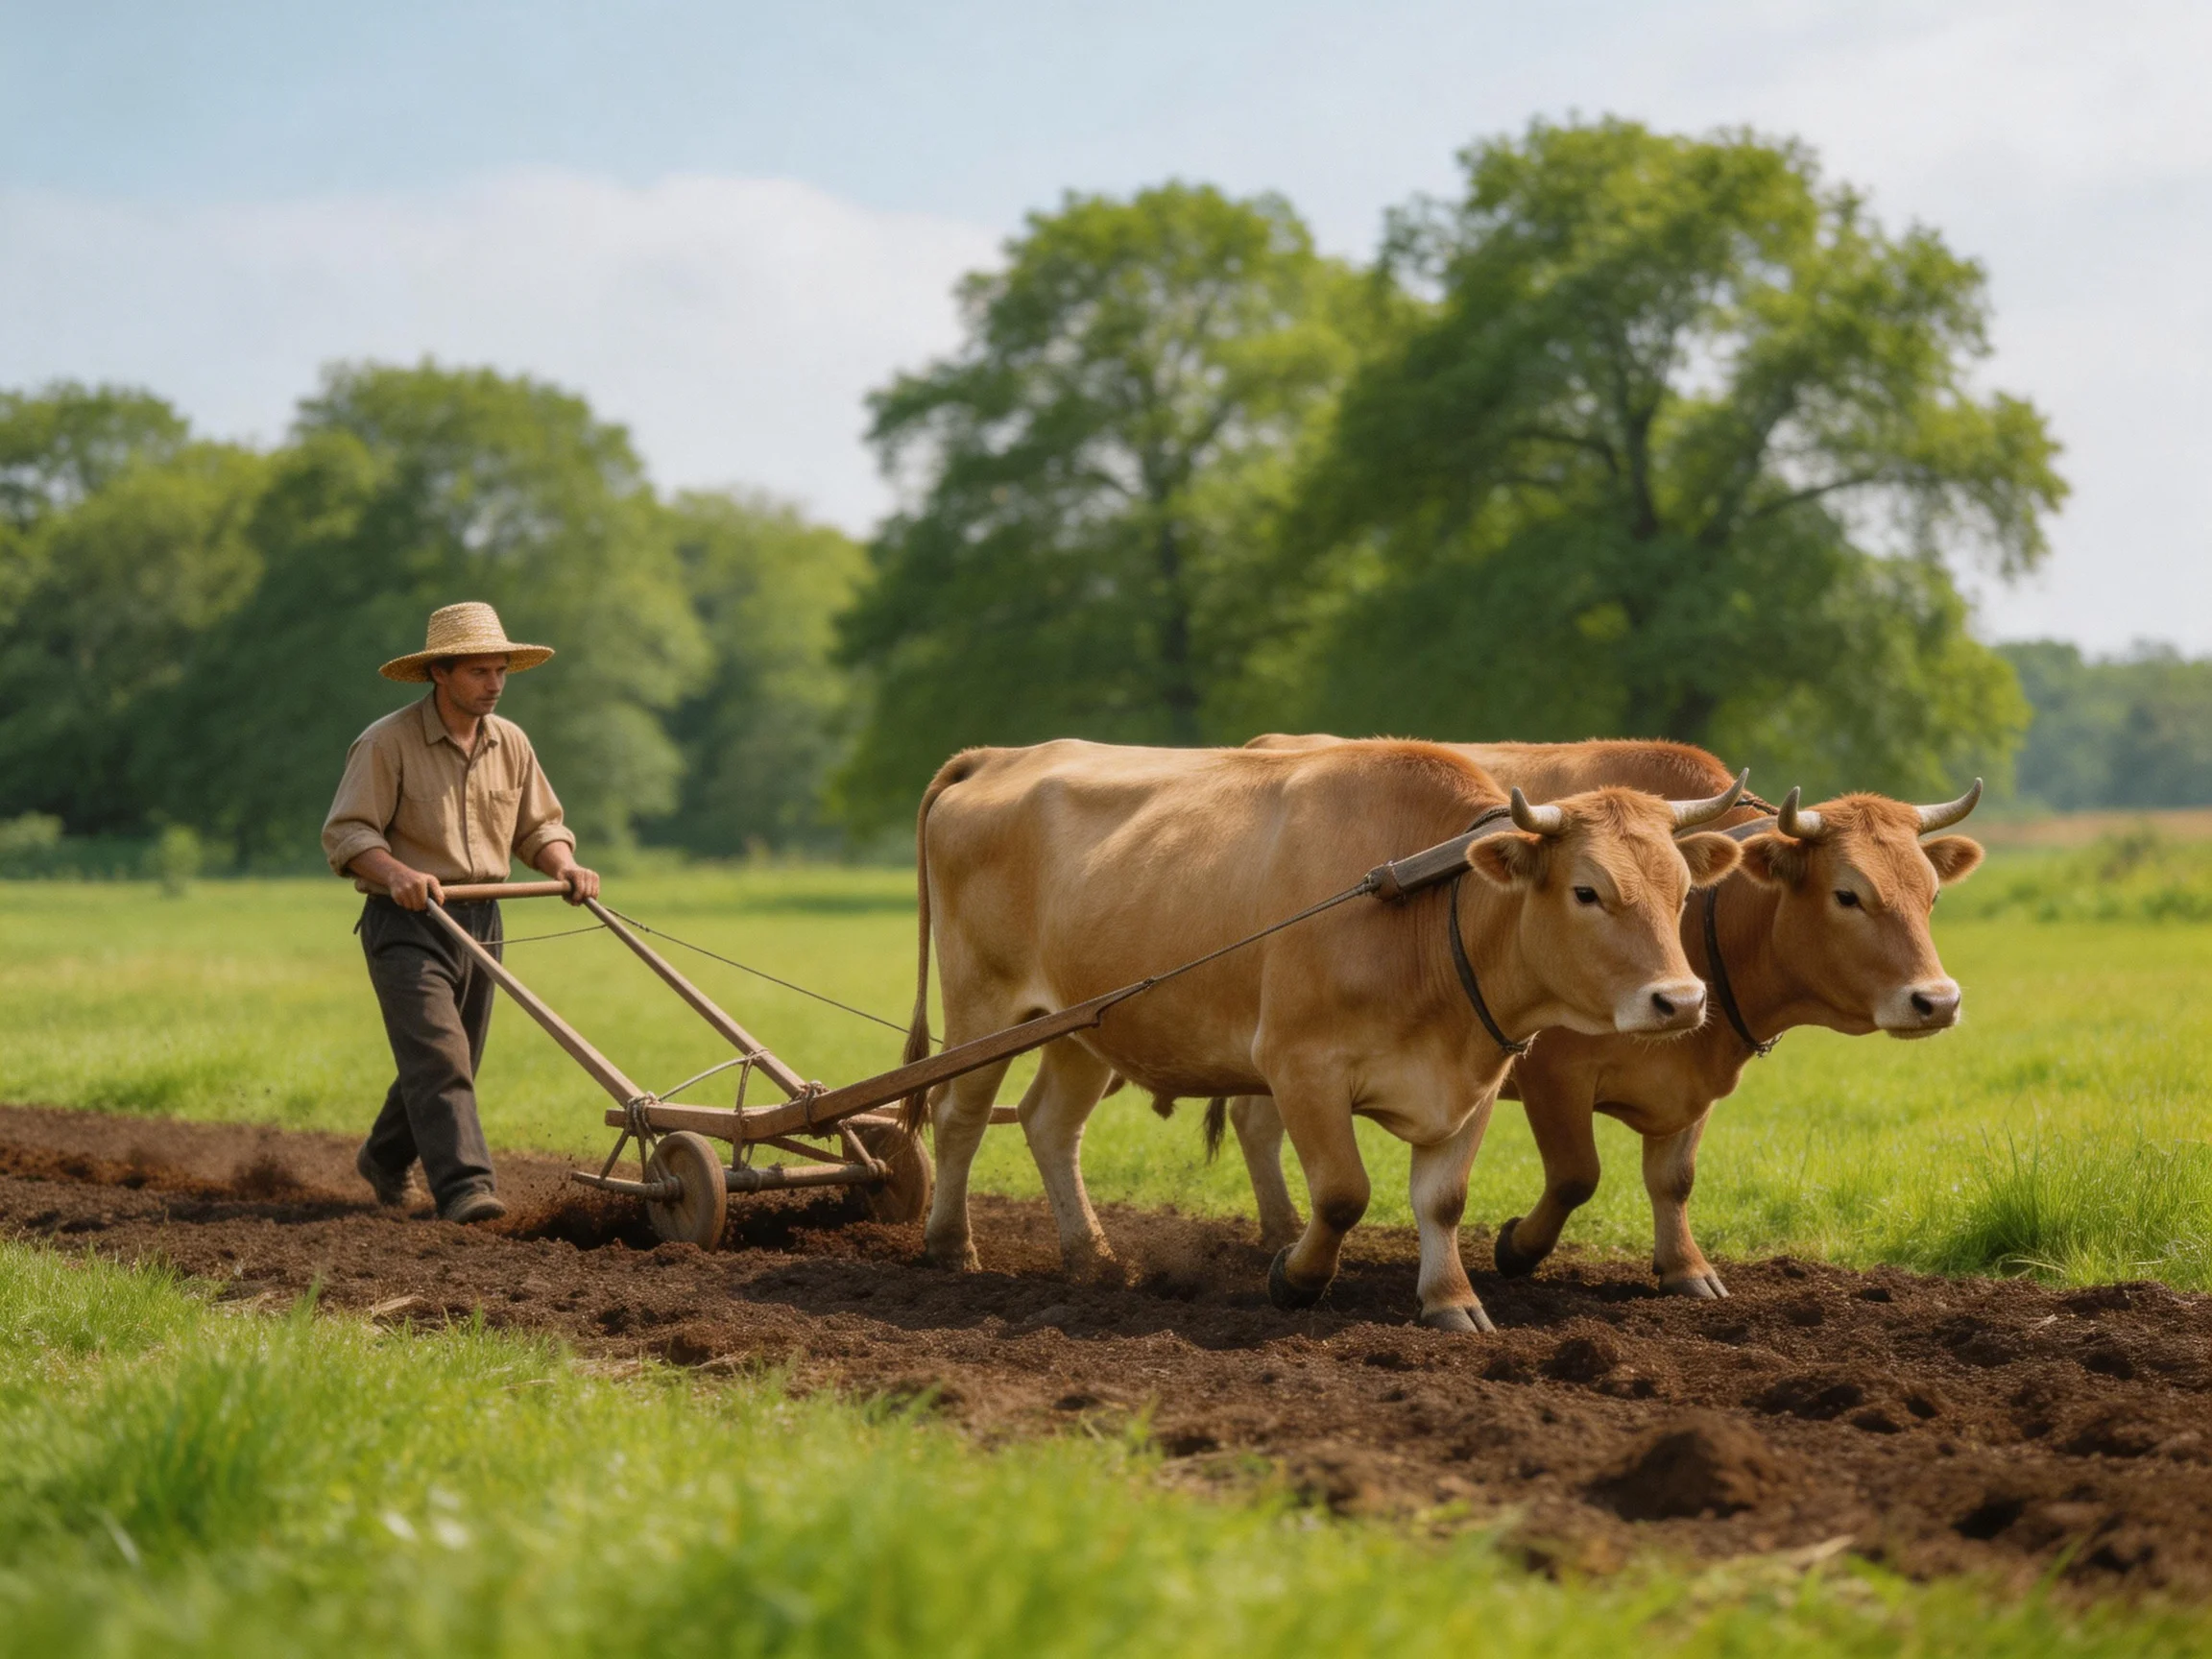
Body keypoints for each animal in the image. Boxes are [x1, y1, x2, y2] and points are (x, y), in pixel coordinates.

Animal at [900, 737, 1746, 1330]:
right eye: (1586, 891)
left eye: (1681, 891)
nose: (1679, 1001)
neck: (1425, 911)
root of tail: (1003, 756)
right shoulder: (1299, 1064)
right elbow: (1342, 1194)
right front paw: (1294, 1277)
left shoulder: (1475, 1077)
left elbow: (1442, 1200)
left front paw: (1450, 1301)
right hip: (983, 1004)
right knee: (958, 1117)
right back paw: (951, 1245)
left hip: (1083, 1026)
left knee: (1049, 1124)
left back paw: (1093, 1258)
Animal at [1214, 736, 1984, 1297]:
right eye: (1848, 895)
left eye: (1933, 895)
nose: (1938, 1000)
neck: (1708, 923)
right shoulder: (1551, 1072)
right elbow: (1575, 1175)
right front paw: (1518, 1247)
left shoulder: (1695, 1072)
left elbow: (1673, 1179)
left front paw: (1687, 1269)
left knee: (1257, 1118)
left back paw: (1279, 1229)